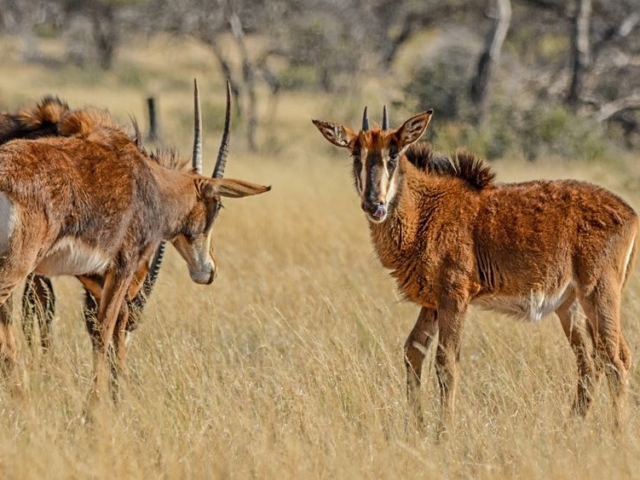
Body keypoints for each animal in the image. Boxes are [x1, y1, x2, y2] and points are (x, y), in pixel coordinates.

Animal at [313, 107, 638, 434]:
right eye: (356, 154)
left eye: (394, 154)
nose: (374, 205)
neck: (425, 209)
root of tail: (630, 212)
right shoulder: (433, 302)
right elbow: (413, 352)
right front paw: (416, 427)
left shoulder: (455, 296)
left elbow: (446, 361)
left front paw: (444, 432)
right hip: (569, 305)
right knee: (590, 362)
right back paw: (571, 427)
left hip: (598, 293)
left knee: (616, 357)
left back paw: (617, 431)